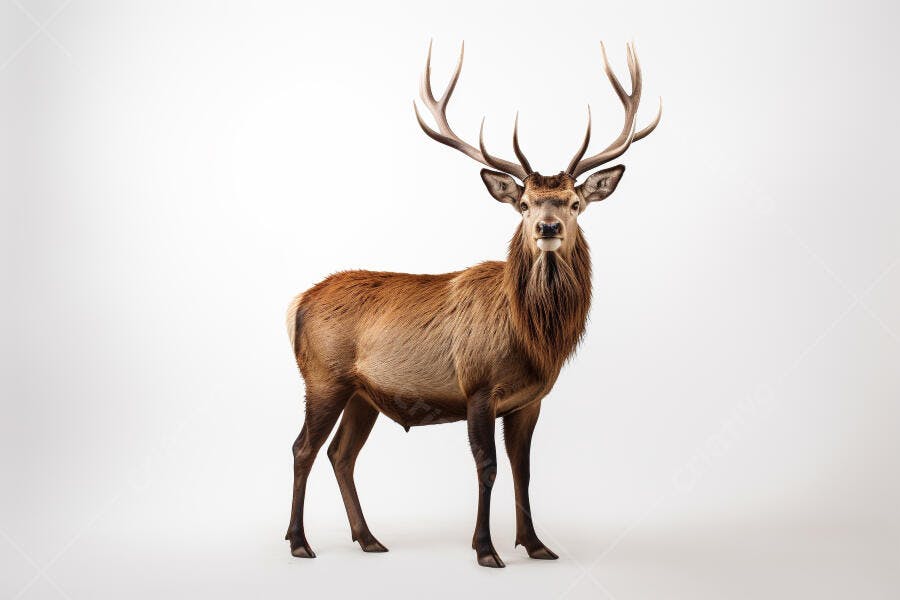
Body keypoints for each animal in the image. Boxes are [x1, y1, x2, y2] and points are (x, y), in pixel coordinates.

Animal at [284, 40, 661, 568]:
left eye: (573, 202)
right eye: (523, 204)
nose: (547, 227)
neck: (534, 339)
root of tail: (298, 302)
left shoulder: (530, 400)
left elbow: (524, 470)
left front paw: (536, 544)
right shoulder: (477, 386)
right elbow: (487, 467)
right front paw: (485, 549)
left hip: (363, 394)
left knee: (341, 454)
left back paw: (368, 537)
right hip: (323, 377)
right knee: (302, 448)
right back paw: (300, 541)